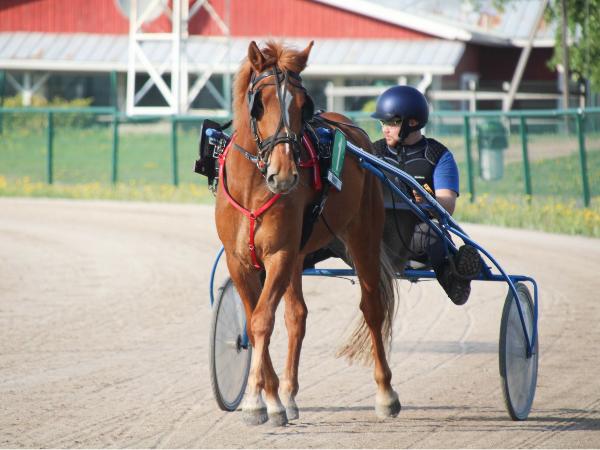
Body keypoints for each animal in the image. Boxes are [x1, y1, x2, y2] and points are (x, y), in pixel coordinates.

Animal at [214, 40, 401, 426]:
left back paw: (386, 394)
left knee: (372, 308)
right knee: (297, 316)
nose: (284, 174)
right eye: (259, 103)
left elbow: (262, 321)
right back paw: (288, 393)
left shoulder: (280, 255)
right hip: (299, 257)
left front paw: (255, 401)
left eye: (303, 105)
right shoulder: (240, 262)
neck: (253, 187)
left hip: (362, 236)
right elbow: (255, 322)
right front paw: (272, 397)